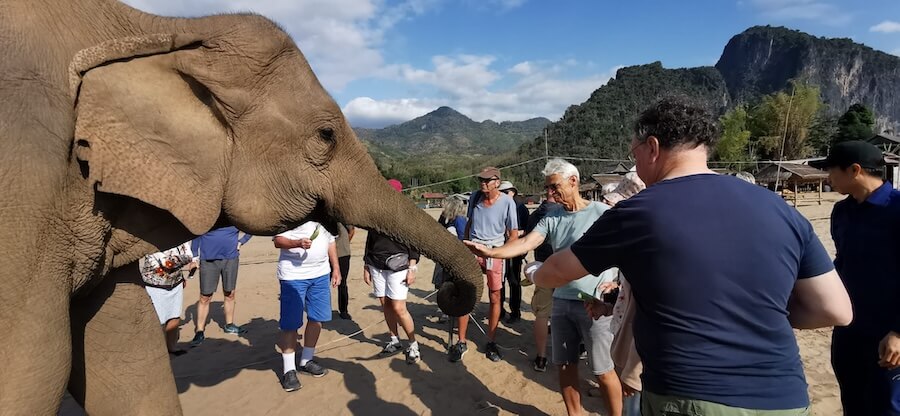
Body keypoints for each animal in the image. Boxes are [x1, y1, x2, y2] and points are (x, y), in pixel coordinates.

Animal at [0, 1, 486, 414]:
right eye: (326, 135)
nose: (446, 291)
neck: (161, 28)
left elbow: (129, 351)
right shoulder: (27, 177)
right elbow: (38, 366)